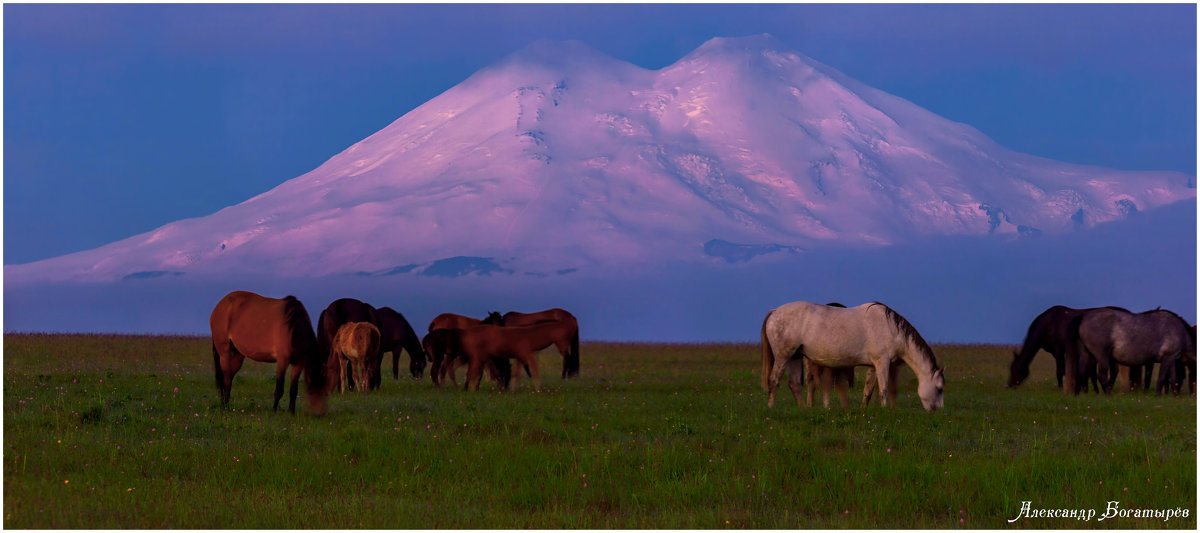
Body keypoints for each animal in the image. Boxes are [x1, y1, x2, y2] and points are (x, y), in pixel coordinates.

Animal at [763, 300, 940, 412]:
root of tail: (774, 312)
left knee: (794, 384)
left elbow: (868, 390)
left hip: (795, 357)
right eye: (939, 389)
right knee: (774, 380)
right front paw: (885, 410)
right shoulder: (883, 362)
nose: (936, 411)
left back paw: (803, 409)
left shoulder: (873, 366)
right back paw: (770, 408)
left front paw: (864, 409)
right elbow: (884, 389)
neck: (891, 328)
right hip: (783, 357)